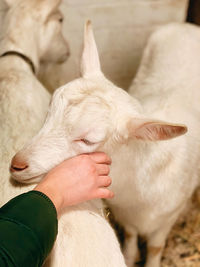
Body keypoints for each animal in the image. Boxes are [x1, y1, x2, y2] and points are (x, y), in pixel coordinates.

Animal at [12, 21, 200, 267]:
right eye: (49, 112)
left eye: (88, 140)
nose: (17, 164)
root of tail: (185, 25)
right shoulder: (125, 214)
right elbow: (129, 234)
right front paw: (130, 255)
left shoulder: (167, 218)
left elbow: (155, 247)